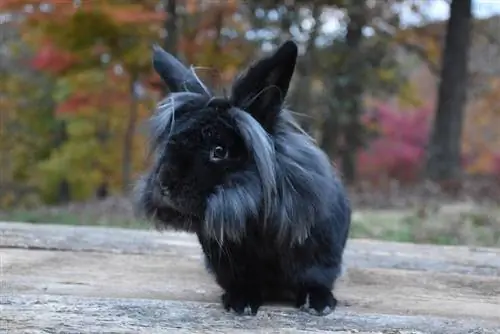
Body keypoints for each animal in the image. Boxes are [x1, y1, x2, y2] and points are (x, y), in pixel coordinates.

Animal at [133, 39, 352, 316]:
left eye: (219, 151)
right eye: (170, 142)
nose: (164, 185)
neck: (255, 223)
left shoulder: (320, 255)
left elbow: (315, 279)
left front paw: (319, 303)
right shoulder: (229, 264)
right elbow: (241, 282)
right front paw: (241, 302)